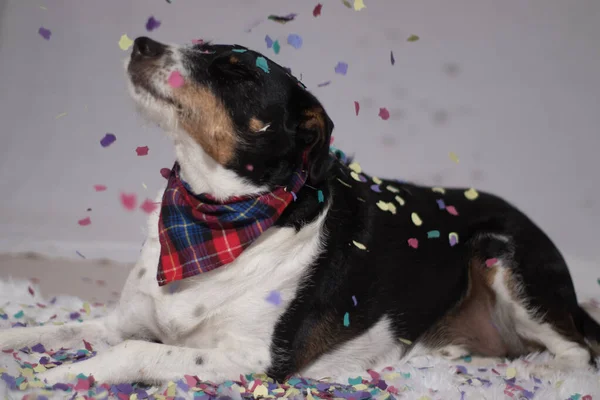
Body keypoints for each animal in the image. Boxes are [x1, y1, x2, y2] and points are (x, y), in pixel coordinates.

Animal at [1, 36, 600, 384]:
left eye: (238, 74)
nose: (143, 41)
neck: (206, 220)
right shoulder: (120, 320)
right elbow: (53, 331)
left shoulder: (252, 359)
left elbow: (137, 353)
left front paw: (63, 380)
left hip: (502, 255)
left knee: (576, 355)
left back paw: (541, 371)